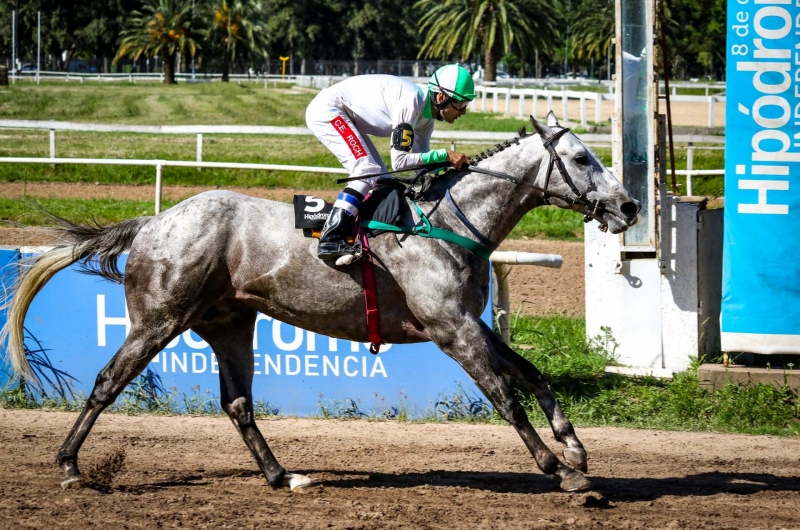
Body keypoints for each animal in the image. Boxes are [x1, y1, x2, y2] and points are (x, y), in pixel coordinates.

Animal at [0, 111, 636, 490]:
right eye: (582, 159)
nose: (628, 207)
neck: (451, 224)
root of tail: (153, 221)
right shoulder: (451, 329)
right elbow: (506, 397)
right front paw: (560, 469)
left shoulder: (468, 324)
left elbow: (531, 374)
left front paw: (575, 447)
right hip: (157, 319)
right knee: (108, 382)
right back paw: (70, 467)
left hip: (229, 323)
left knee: (238, 403)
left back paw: (282, 476)